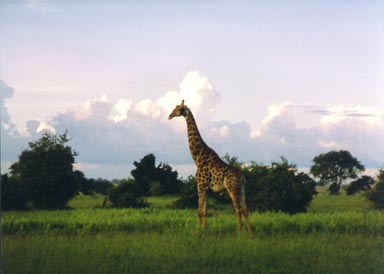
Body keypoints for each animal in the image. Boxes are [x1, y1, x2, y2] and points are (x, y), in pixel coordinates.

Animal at [168, 99, 252, 231]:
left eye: (179, 109)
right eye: (175, 107)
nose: (170, 115)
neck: (197, 158)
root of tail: (242, 177)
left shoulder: (200, 185)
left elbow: (199, 211)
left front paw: (197, 231)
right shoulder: (207, 189)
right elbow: (205, 211)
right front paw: (204, 230)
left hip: (232, 188)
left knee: (238, 210)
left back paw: (239, 232)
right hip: (242, 189)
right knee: (245, 209)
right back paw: (249, 232)